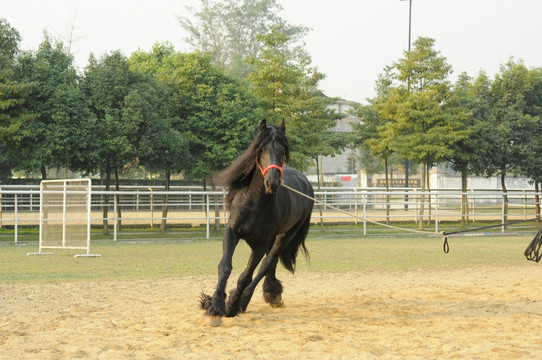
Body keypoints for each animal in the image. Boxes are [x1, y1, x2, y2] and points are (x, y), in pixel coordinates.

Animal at [203, 119, 314, 324]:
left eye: (282, 151)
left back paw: (250, 299)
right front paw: (214, 305)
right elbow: (225, 267)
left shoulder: (261, 245)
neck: (254, 202)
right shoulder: (231, 232)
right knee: (270, 264)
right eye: (261, 149)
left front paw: (231, 305)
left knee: (266, 264)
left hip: (284, 236)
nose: (272, 183)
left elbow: (246, 275)